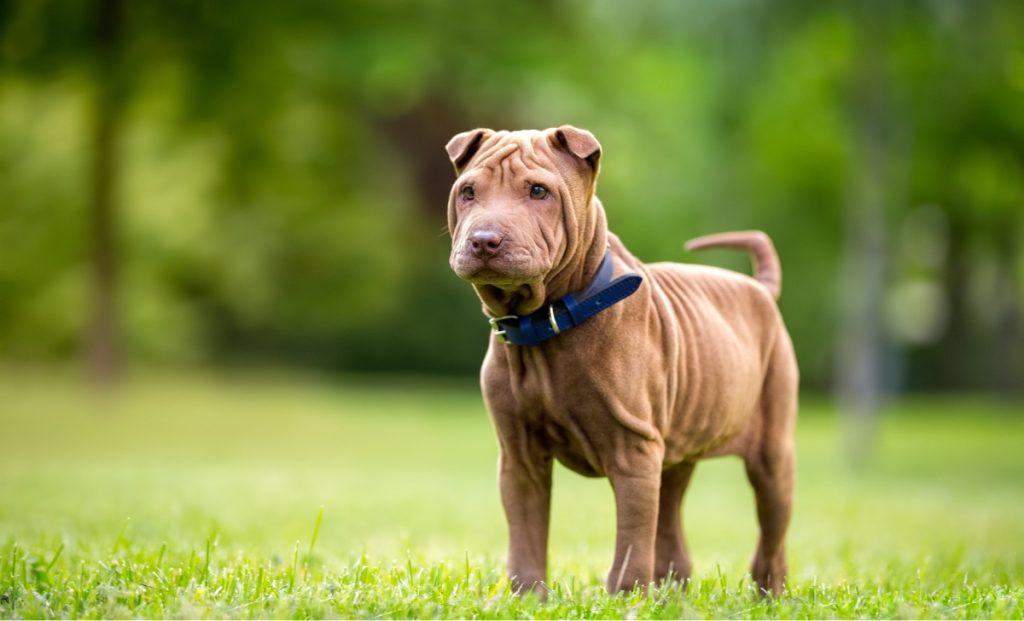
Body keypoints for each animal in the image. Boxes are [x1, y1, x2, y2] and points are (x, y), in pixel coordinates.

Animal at [444, 125, 794, 598]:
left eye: (538, 191)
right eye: (468, 192)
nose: (484, 240)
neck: (545, 324)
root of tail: (760, 289)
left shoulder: (633, 451)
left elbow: (631, 538)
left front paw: (626, 599)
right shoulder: (519, 456)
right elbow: (526, 534)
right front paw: (525, 598)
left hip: (772, 453)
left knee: (770, 534)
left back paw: (769, 596)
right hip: (675, 452)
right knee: (671, 526)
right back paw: (671, 594)